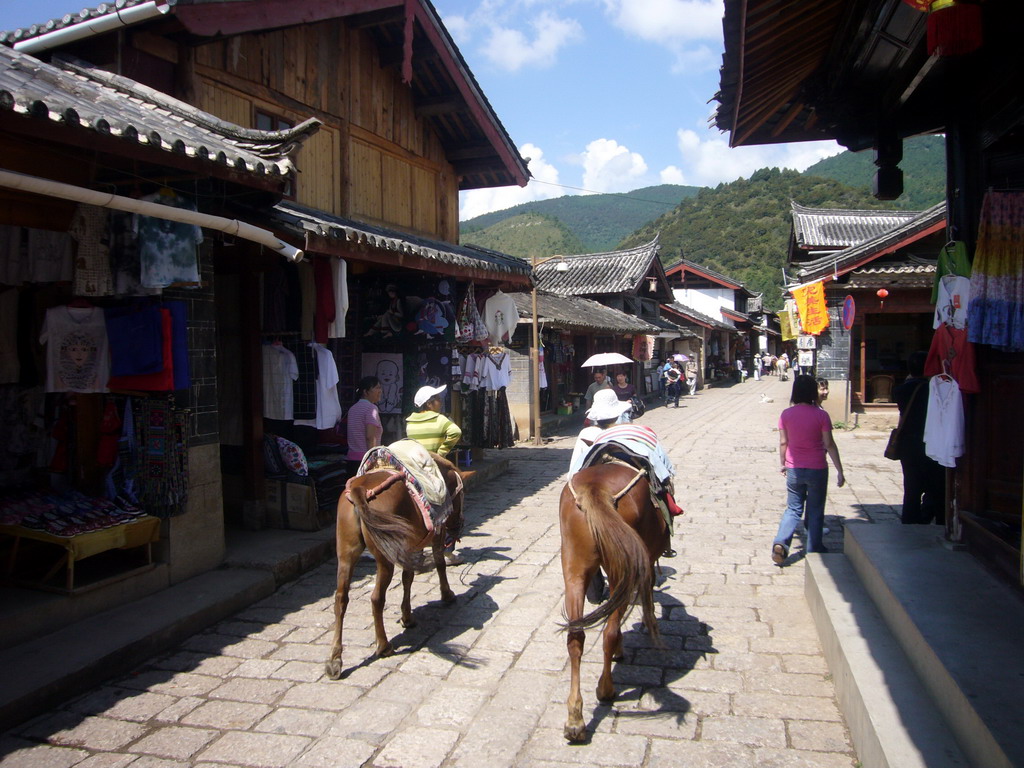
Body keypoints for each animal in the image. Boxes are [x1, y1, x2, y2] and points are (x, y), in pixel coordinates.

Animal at [561, 460, 671, 741]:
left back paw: (575, 719)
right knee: (609, 632)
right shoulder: (644, 563)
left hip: (574, 569)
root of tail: (596, 489)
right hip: (622, 568)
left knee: (575, 636)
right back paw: (606, 689)